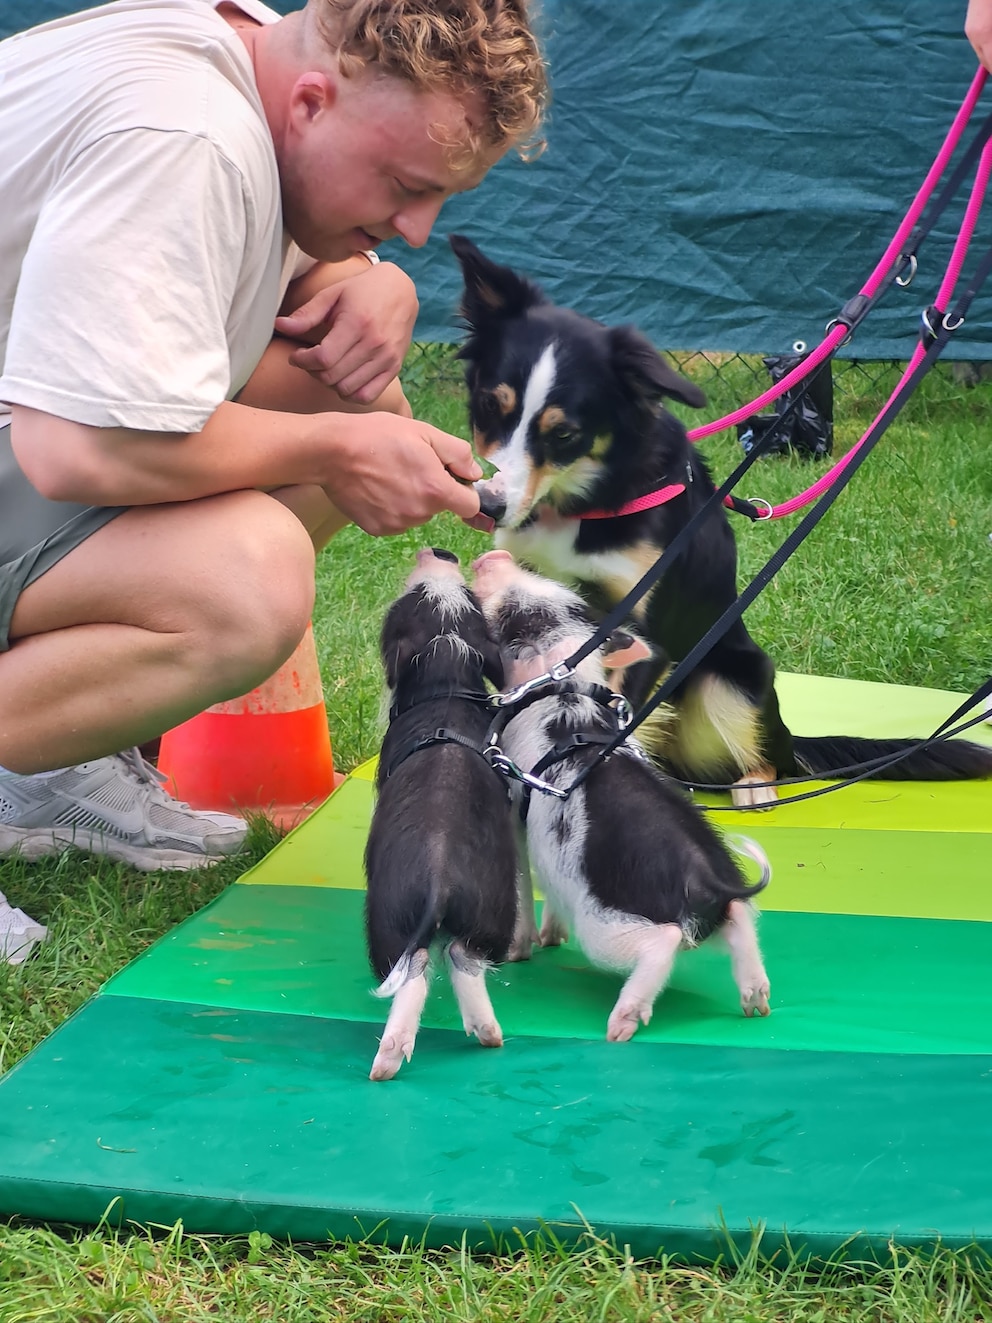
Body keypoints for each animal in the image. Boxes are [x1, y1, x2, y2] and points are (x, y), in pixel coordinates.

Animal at [365, 545, 521, 1074]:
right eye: (472, 598)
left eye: (408, 598)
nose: (441, 550)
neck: (447, 679)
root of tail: (439, 878)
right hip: (490, 910)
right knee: (462, 957)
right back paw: (486, 1035)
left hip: (386, 925)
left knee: (418, 968)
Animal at [470, 550, 772, 1042]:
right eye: (570, 600)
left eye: (514, 616)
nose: (493, 555)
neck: (564, 690)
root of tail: (708, 877)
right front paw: (550, 939)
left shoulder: (515, 807)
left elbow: (519, 878)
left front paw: (518, 953)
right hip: (723, 906)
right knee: (742, 920)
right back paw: (757, 1005)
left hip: (606, 924)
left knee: (663, 941)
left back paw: (620, 1026)